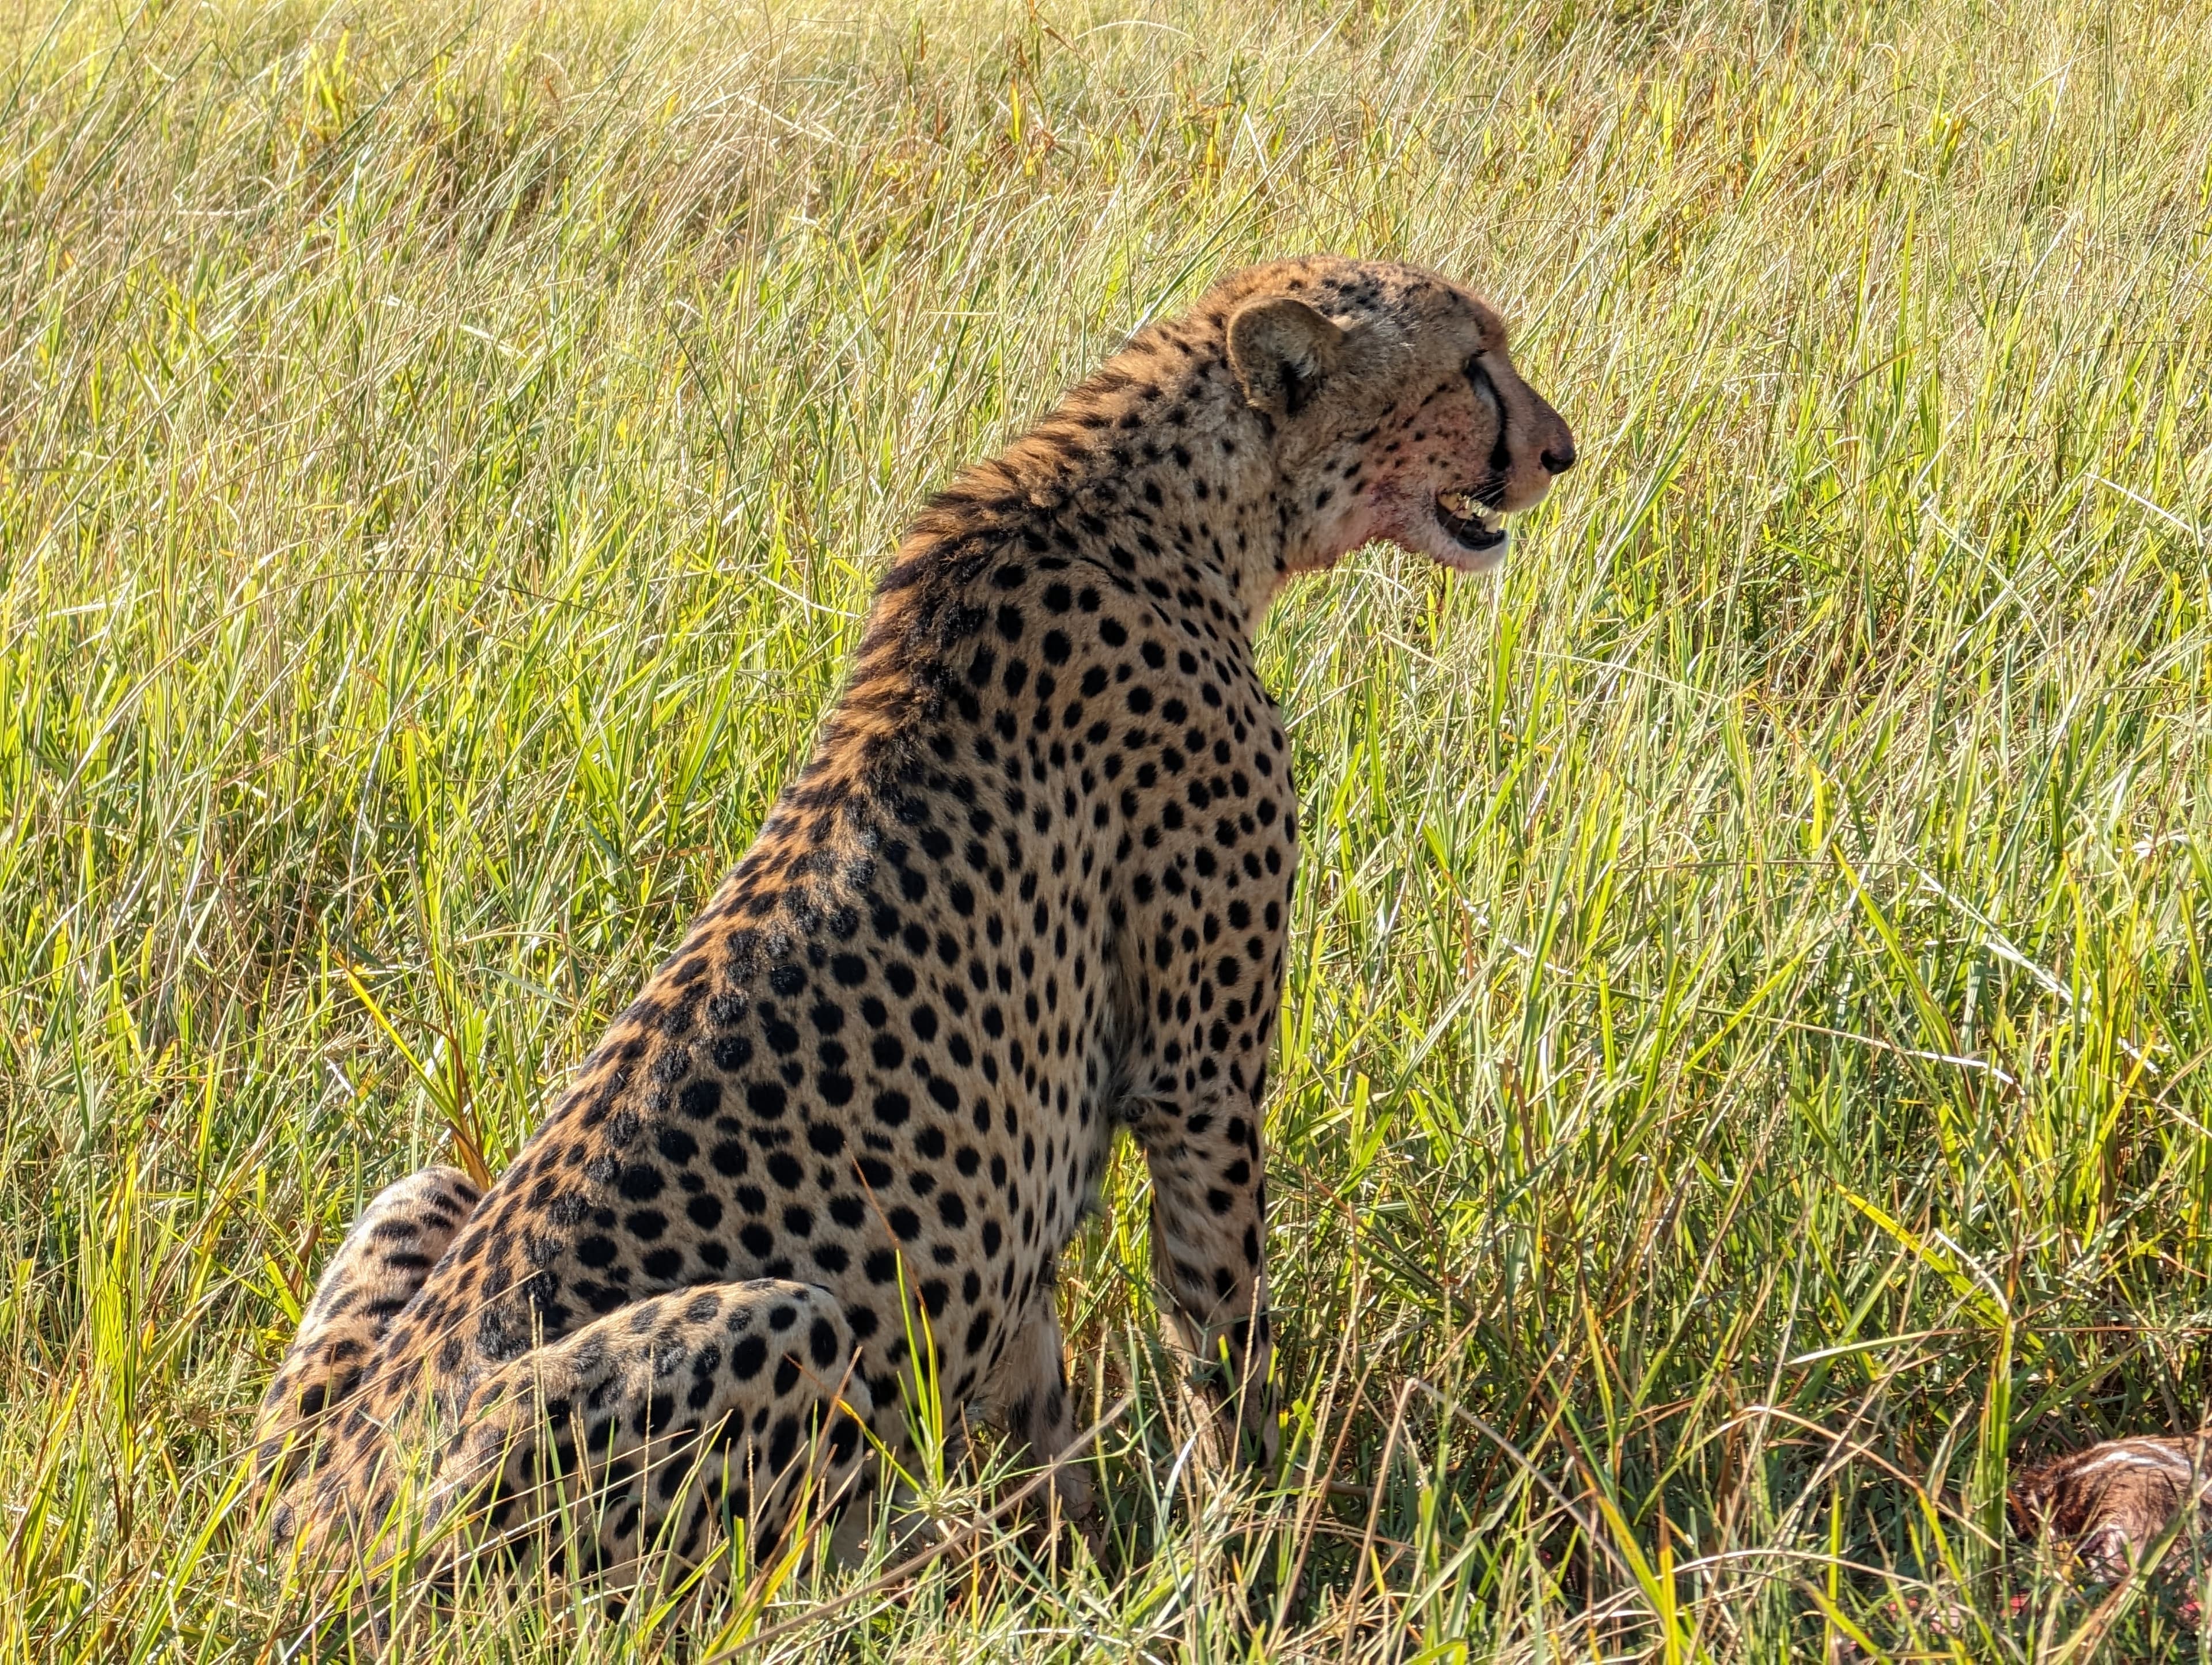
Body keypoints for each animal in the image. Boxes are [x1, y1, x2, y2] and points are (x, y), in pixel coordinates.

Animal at [253, 254, 1576, 1599]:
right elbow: (1219, 1329)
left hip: (418, 1199)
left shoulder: (1016, 1188)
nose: (1561, 452)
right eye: (1473, 365)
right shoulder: (1196, 1081)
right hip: (777, 1329)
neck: (1175, 504)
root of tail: (301, 1547)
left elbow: (1046, 1404)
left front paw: (1086, 1568)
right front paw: (1252, 1545)